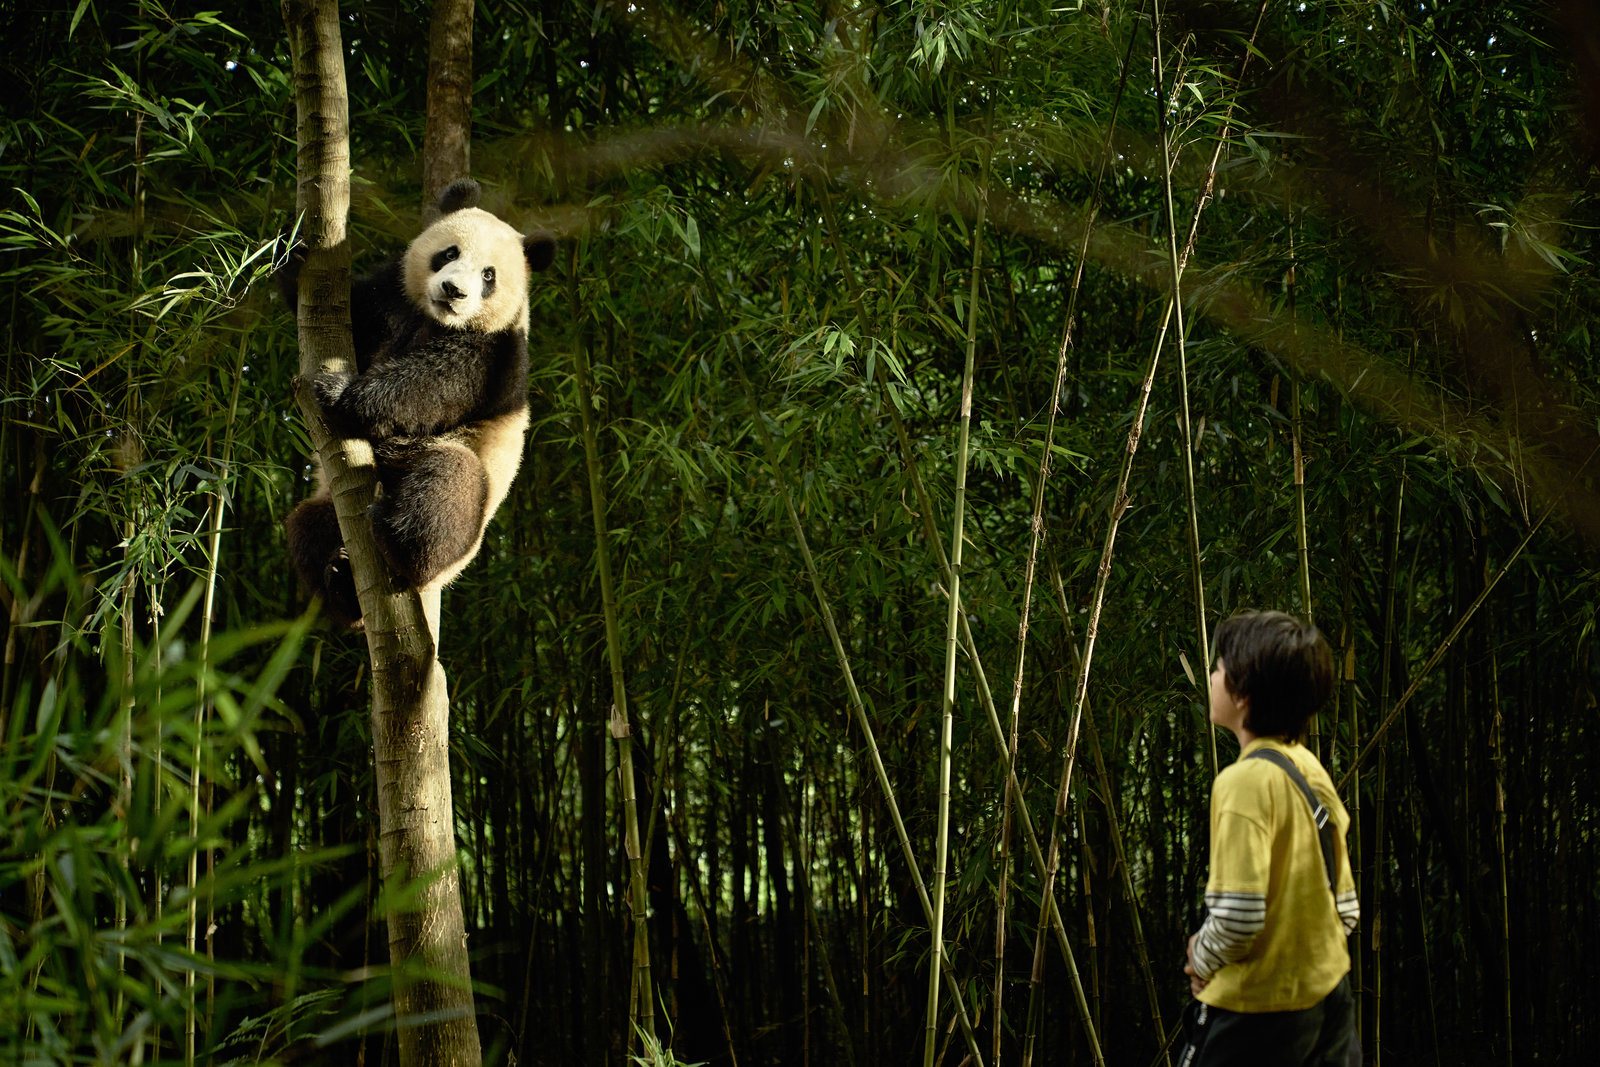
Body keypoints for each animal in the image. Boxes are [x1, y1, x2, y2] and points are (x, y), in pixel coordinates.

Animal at [280, 179, 556, 627]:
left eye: (489, 275)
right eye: (449, 253)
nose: (453, 291)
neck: (435, 317)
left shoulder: (497, 354)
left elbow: (434, 384)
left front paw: (340, 391)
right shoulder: (390, 300)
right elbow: (355, 310)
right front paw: (293, 255)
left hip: (460, 495)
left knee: (447, 486)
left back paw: (400, 546)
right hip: (326, 504)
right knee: (307, 526)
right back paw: (341, 585)